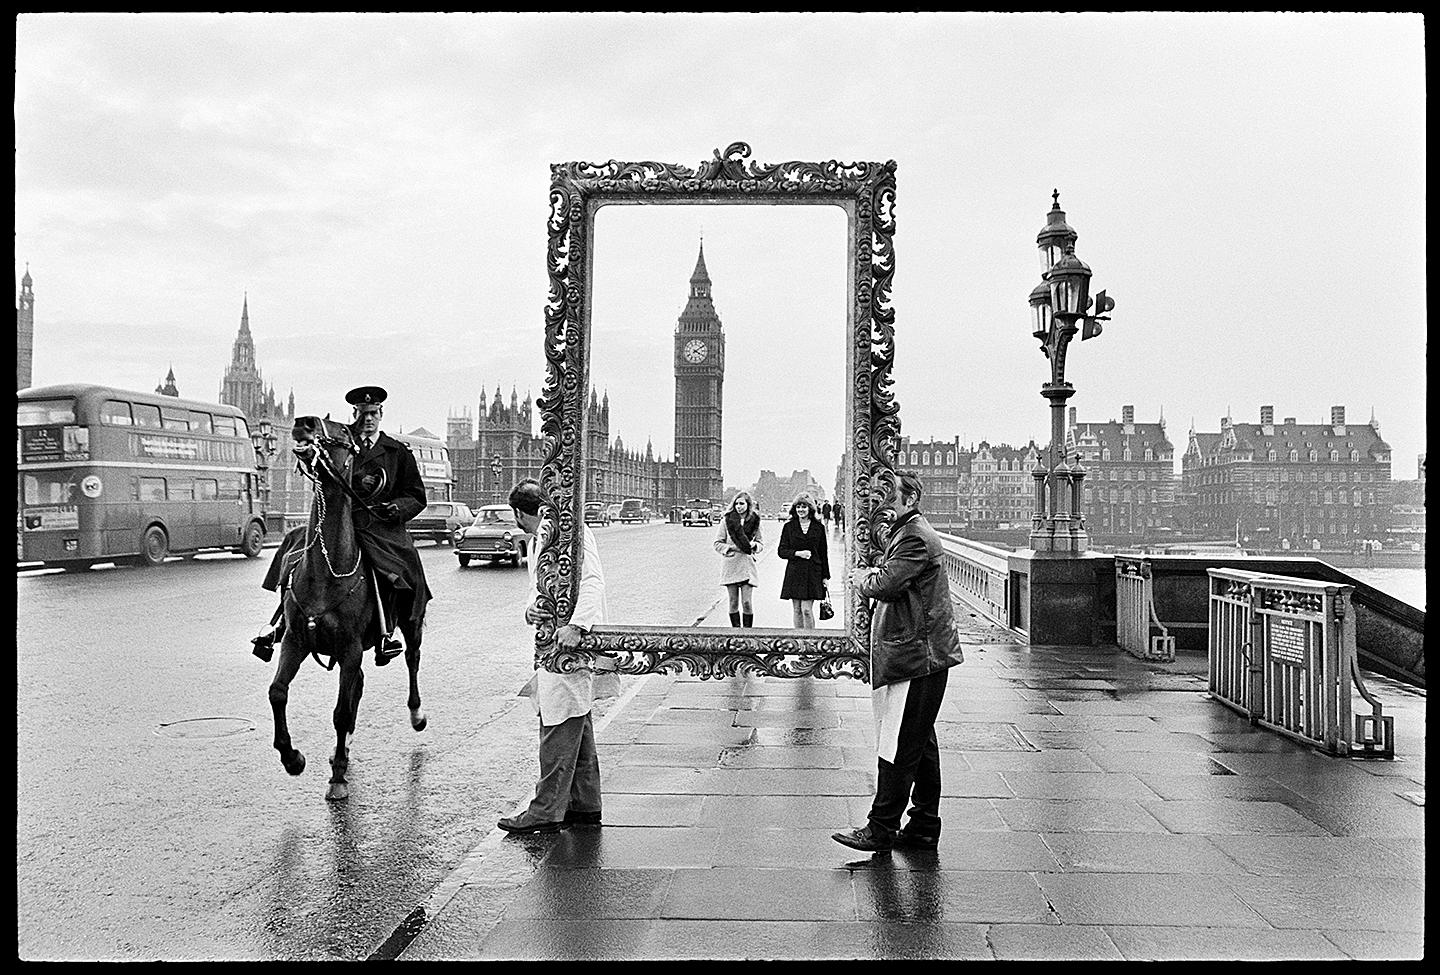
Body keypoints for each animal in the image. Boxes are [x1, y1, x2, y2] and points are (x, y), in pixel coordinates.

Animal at [267, 411, 426, 800]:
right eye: (351, 428)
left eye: (341, 432)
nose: (303, 422)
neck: (325, 570)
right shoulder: (296, 641)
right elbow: (278, 692)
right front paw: (292, 758)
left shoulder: (351, 646)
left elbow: (339, 711)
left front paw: (338, 777)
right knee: (360, 682)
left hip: (411, 620)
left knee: (413, 659)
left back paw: (416, 715)